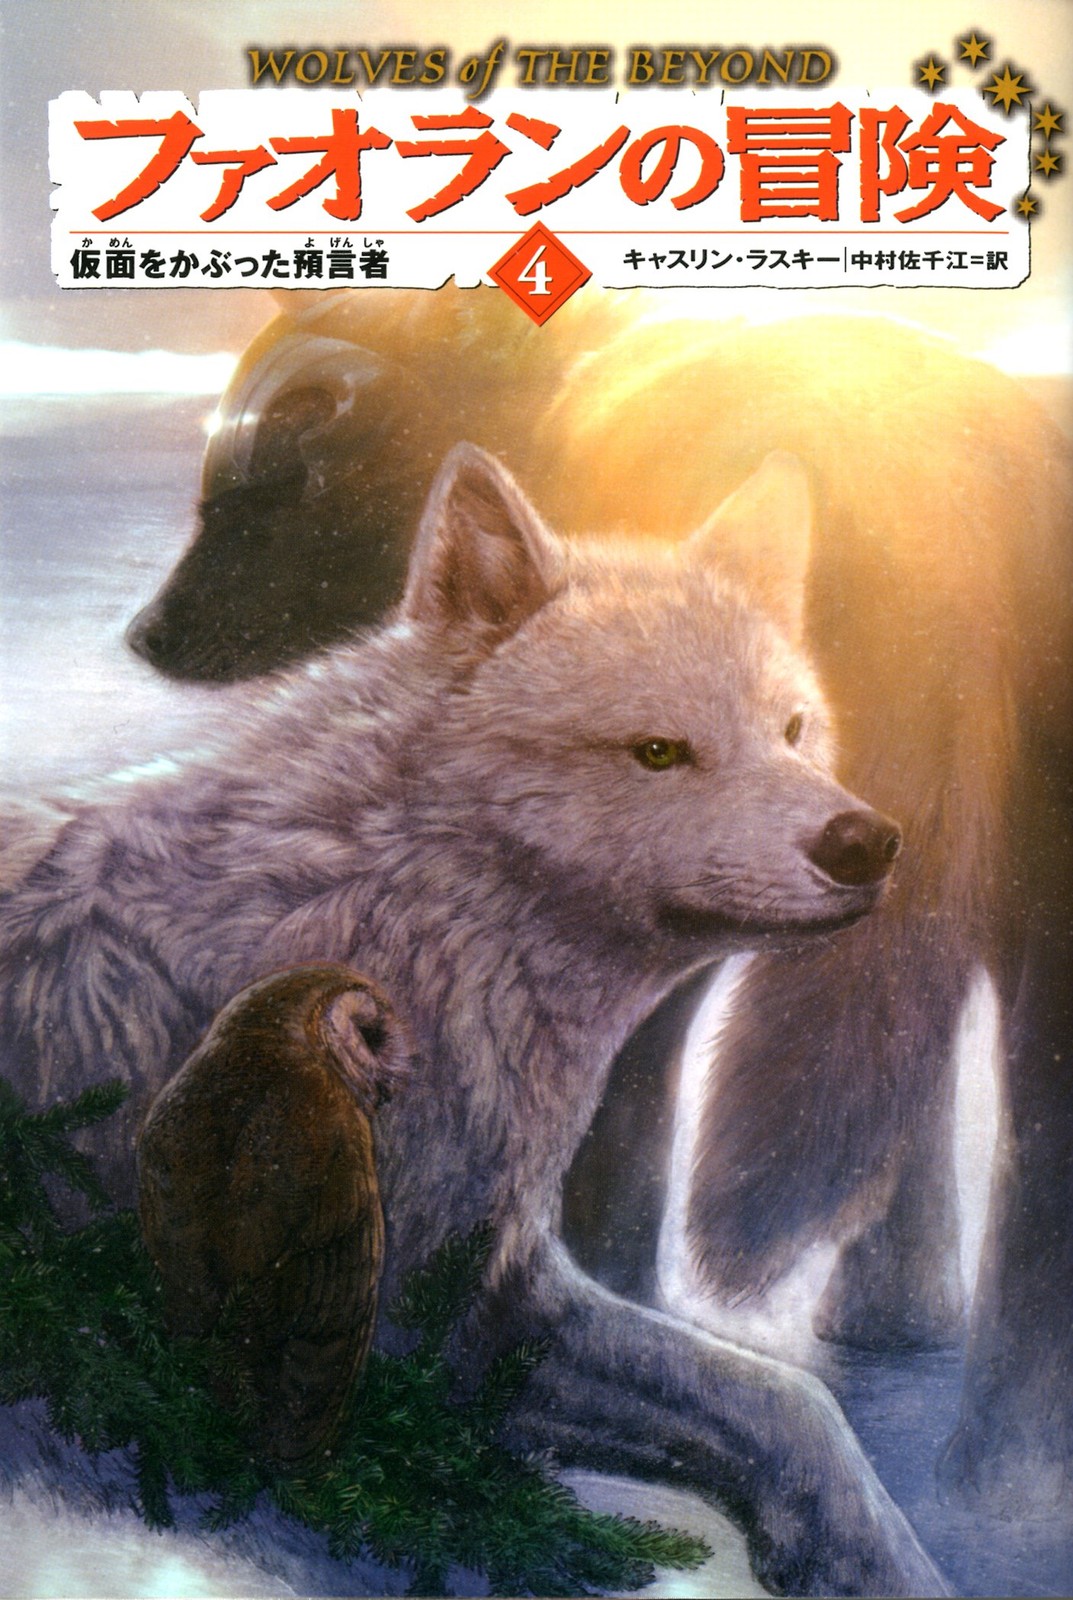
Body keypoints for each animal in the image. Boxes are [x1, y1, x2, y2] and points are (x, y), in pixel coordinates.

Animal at [0, 445, 944, 1596]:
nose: (864, 842)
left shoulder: (487, 1303)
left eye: (793, 730)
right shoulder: (395, 1334)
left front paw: (868, 1560)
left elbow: (786, 1402)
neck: (390, 918)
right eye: (659, 752)